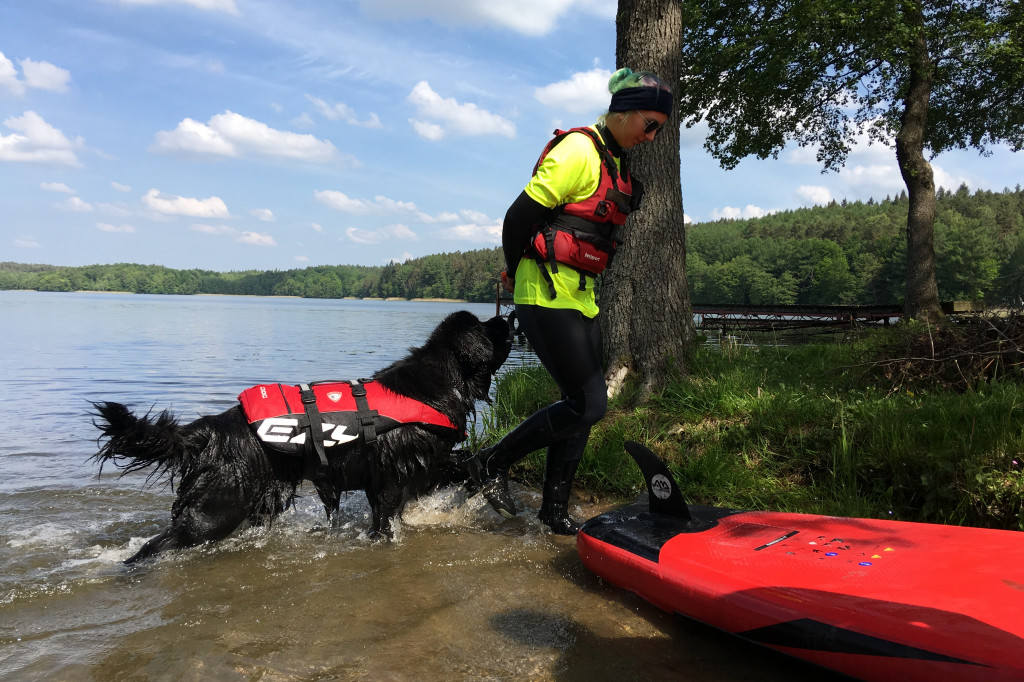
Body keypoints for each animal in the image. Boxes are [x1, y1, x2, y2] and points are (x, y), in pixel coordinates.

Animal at [93, 311, 512, 561]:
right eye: (488, 328)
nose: (508, 317)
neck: (439, 383)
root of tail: (212, 428)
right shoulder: (396, 477)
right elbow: (393, 516)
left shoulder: (417, 468)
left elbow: (463, 464)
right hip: (215, 508)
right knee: (158, 544)